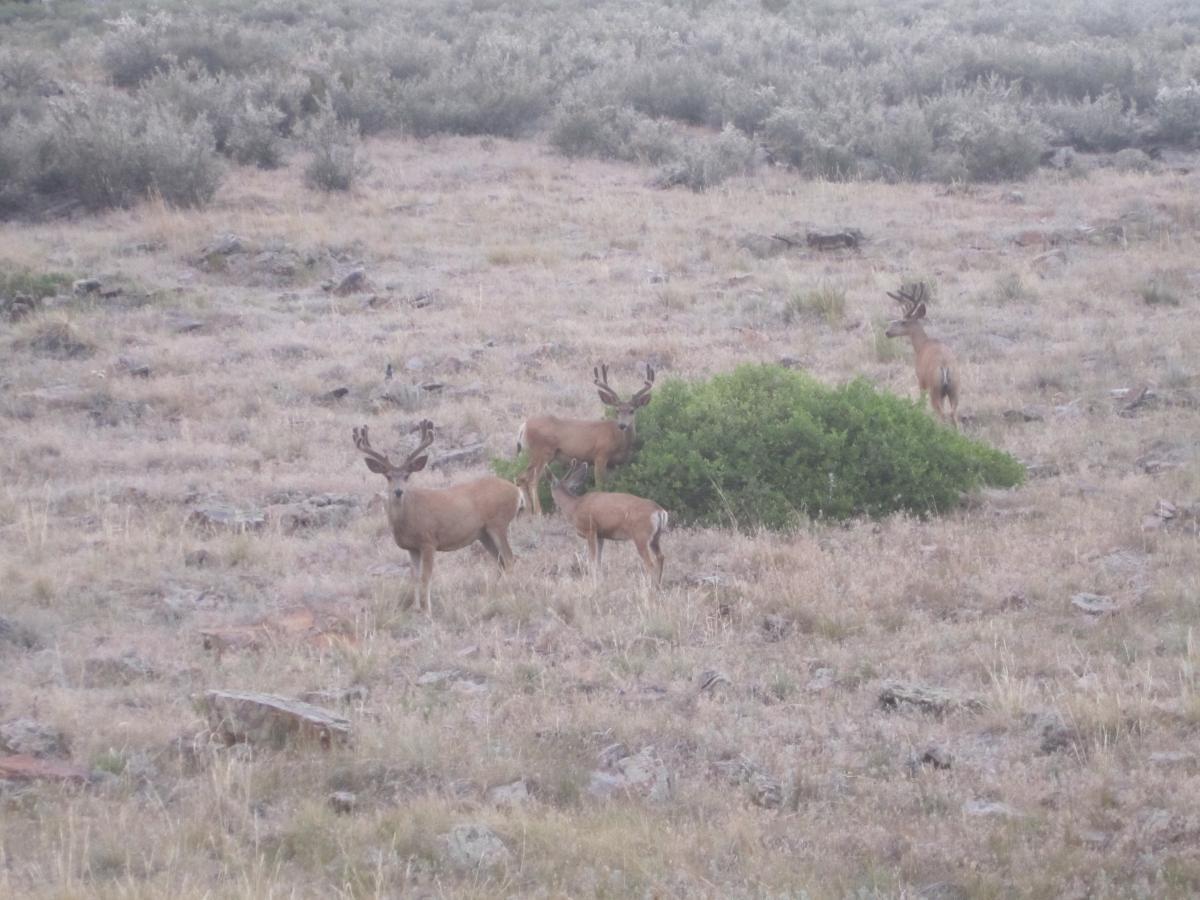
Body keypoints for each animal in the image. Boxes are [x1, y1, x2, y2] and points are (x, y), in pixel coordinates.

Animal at [352, 419, 523, 614]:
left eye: (407, 475)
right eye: (388, 476)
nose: (398, 491)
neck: (409, 517)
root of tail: (517, 491)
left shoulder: (429, 541)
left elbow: (426, 576)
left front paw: (427, 610)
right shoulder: (411, 547)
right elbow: (414, 576)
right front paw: (416, 608)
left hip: (498, 523)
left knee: (509, 558)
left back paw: (508, 594)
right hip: (483, 533)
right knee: (501, 561)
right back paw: (494, 594)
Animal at [516, 363, 655, 515]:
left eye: (632, 410)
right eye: (617, 410)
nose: (622, 425)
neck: (619, 441)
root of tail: (523, 426)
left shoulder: (616, 464)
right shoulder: (600, 455)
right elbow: (600, 484)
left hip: (538, 455)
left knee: (521, 477)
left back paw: (528, 511)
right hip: (542, 452)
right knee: (532, 480)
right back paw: (539, 512)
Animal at [549, 459, 668, 589]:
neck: (574, 507)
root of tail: (659, 510)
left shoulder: (590, 529)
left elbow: (591, 561)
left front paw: (592, 583)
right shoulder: (600, 535)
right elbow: (599, 561)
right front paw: (600, 581)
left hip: (641, 536)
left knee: (650, 563)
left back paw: (650, 587)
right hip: (655, 537)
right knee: (661, 557)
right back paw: (659, 585)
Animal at [885, 283, 960, 428]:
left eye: (903, 321)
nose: (887, 332)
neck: (921, 345)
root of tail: (945, 367)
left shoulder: (920, 380)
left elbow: (921, 404)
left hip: (934, 388)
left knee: (941, 414)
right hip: (954, 388)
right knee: (953, 415)